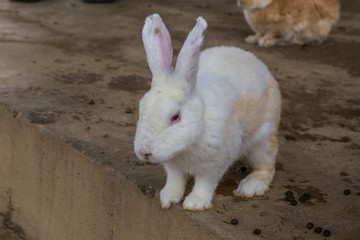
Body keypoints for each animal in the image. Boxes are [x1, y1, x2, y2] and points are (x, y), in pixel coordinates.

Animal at [134, 14, 282, 211]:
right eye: (141, 109)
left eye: (175, 117)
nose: (144, 151)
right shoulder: (173, 167)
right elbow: (175, 181)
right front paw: (167, 198)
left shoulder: (215, 163)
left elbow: (205, 183)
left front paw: (195, 203)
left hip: (263, 140)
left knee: (267, 166)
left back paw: (250, 187)